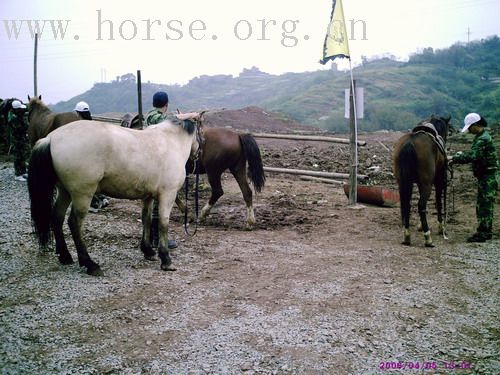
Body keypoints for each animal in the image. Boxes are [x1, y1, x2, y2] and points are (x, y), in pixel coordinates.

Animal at [27, 120, 201, 276]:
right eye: (200, 134)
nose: (197, 156)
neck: (170, 142)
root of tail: (51, 138)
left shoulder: (148, 196)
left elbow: (146, 219)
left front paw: (148, 251)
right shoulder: (167, 195)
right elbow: (163, 224)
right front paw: (165, 259)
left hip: (65, 192)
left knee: (57, 217)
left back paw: (65, 256)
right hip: (82, 194)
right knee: (74, 223)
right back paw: (90, 264)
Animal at [392, 116, 452, 248]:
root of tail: (410, 143)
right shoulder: (438, 181)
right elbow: (438, 202)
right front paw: (441, 227)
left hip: (402, 182)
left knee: (407, 204)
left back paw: (407, 235)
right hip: (427, 184)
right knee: (421, 205)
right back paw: (428, 238)